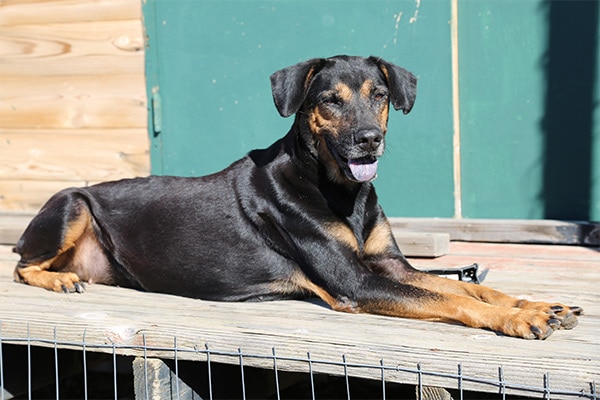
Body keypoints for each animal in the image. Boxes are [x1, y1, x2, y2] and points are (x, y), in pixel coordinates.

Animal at [11, 55, 580, 338]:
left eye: (380, 95)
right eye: (330, 100)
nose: (370, 139)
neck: (342, 191)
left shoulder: (389, 265)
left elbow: (468, 289)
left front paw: (535, 304)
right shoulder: (355, 283)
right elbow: (452, 299)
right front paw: (519, 319)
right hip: (72, 203)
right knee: (21, 265)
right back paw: (56, 279)